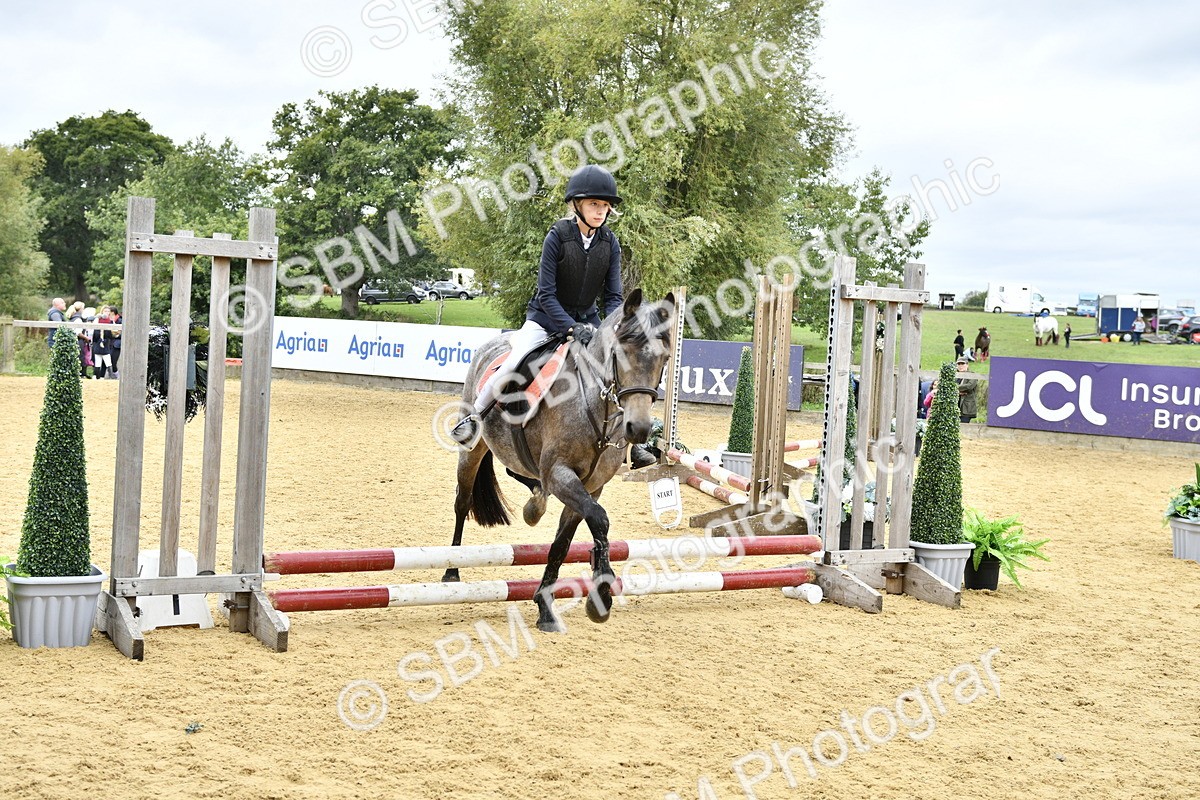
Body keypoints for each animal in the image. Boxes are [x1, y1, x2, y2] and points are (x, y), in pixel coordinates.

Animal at [445, 289, 675, 632]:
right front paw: (601, 597)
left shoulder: (589, 486)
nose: (639, 428)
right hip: (473, 447)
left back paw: (534, 504)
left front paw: (546, 606)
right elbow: (600, 519)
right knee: (462, 502)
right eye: (620, 354)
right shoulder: (559, 473)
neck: (593, 405)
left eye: (666, 359)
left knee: (519, 473)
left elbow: (563, 542)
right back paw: (451, 571)